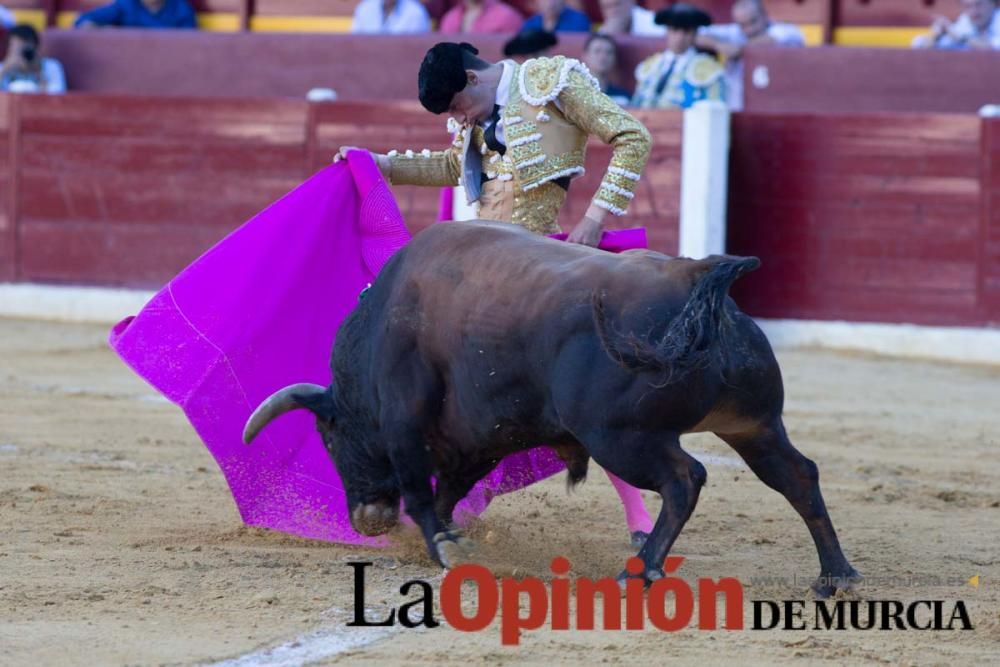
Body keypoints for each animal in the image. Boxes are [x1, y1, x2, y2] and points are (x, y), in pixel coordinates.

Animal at [244, 222, 860, 596]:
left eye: (330, 438)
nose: (366, 520)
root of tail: (695, 277)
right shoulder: (481, 435)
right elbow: (448, 491)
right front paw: (450, 538)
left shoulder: (405, 420)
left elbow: (422, 492)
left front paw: (444, 549)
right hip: (754, 424)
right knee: (798, 475)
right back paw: (836, 575)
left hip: (622, 436)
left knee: (685, 479)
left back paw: (640, 571)